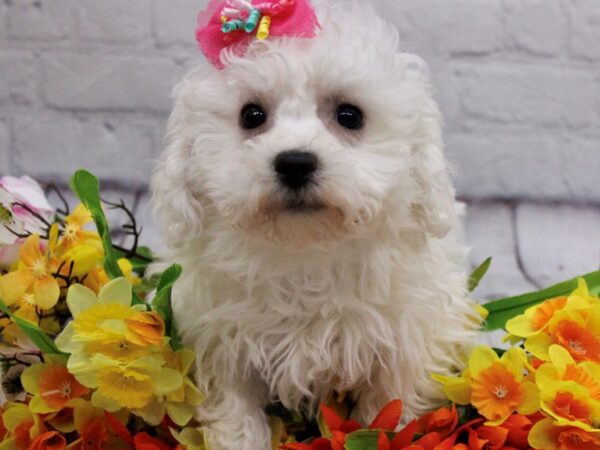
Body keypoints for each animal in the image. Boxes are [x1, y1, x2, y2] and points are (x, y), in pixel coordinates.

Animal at [151, 1, 478, 448]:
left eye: (349, 115)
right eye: (251, 115)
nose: (294, 162)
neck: (306, 252)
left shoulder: (406, 341)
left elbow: (389, 411)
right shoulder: (218, 339)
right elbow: (236, 412)